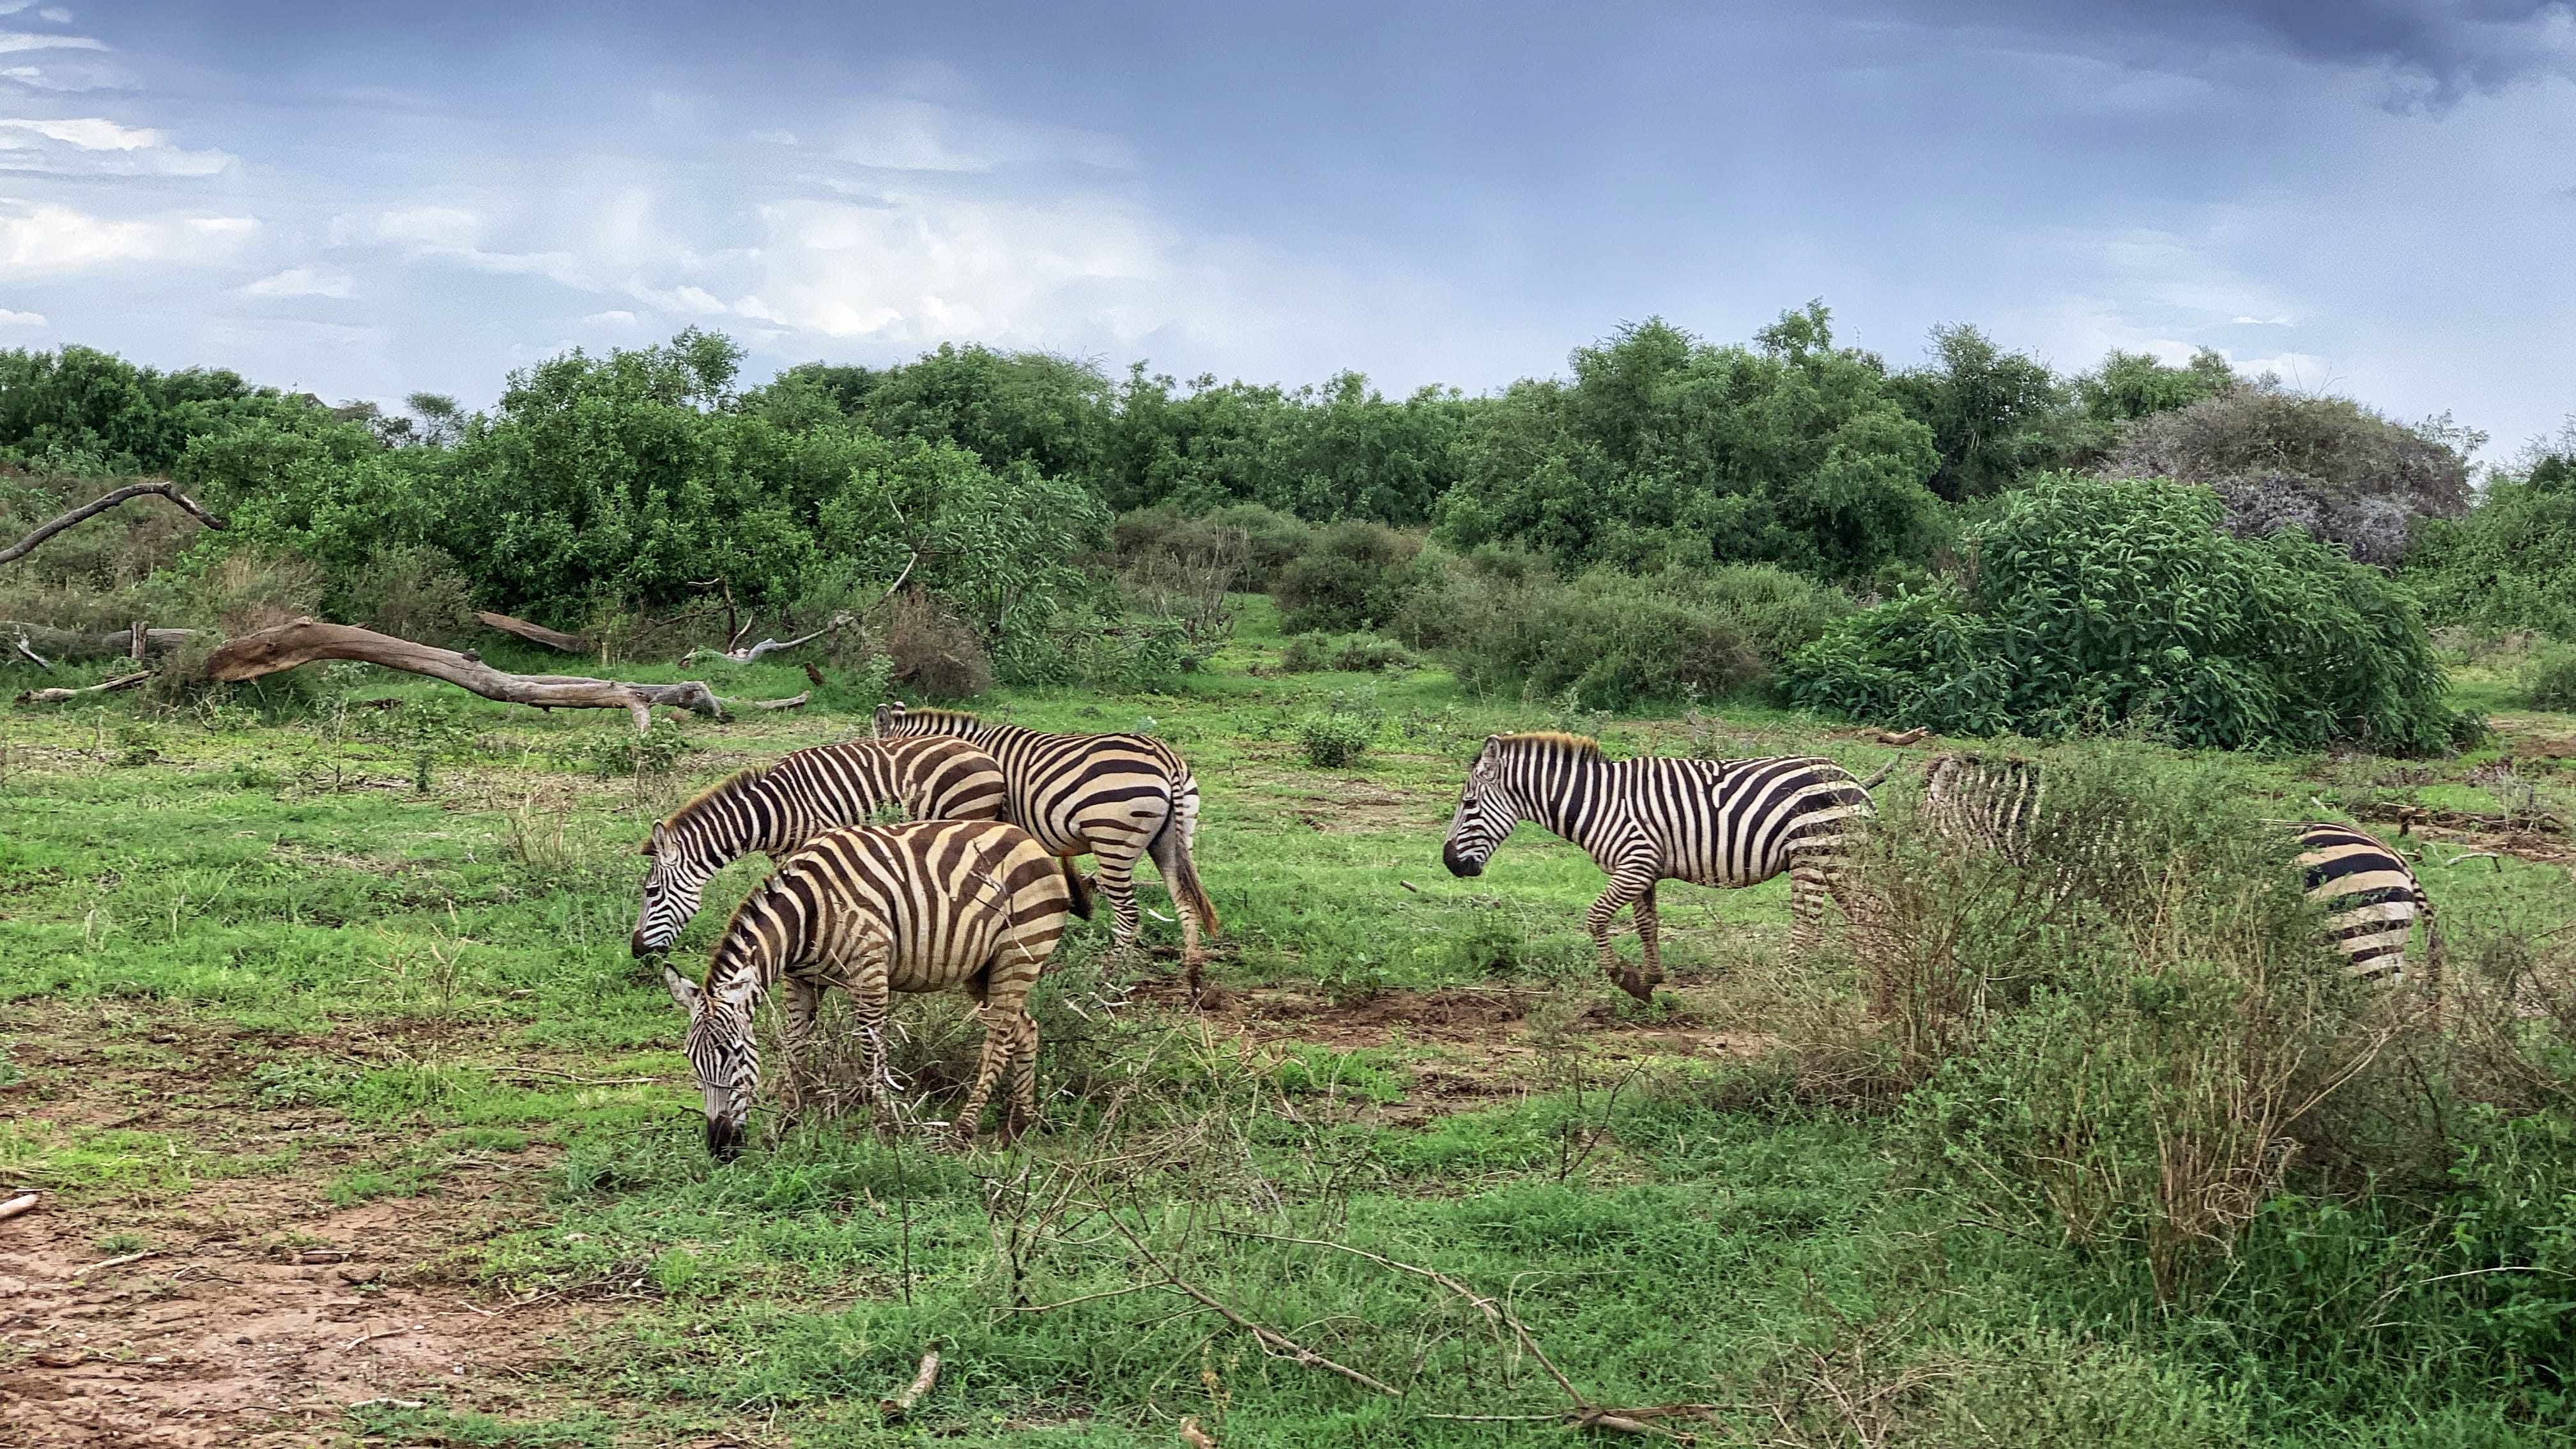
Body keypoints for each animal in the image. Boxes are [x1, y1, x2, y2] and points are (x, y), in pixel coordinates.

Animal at [659, 819, 1092, 1159]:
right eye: (690, 1060)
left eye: (734, 1056)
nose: (720, 1147)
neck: (806, 914)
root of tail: (1031, 842)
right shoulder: (800, 982)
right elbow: (794, 1050)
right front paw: (783, 1124)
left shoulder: (869, 971)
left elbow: (870, 1049)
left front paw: (887, 1126)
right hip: (982, 969)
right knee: (1025, 1029)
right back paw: (1019, 1125)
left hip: (1019, 953)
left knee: (998, 1039)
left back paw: (963, 1132)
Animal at [874, 702, 1220, 994]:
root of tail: (1167, 760)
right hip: (1173, 838)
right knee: (1185, 900)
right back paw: (1193, 977)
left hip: (1113, 839)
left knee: (1129, 915)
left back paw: (1109, 977)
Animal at [1439, 733, 1877, 1002]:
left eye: (1469, 805)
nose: (1450, 863)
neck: (1595, 802)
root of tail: (1852, 780)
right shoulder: (1642, 869)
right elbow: (1646, 924)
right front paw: (1649, 980)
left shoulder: (1634, 863)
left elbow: (1595, 917)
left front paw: (1622, 976)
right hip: (1840, 861)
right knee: (1867, 914)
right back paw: (1873, 976)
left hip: (1813, 854)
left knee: (1808, 924)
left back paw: (1787, 982)